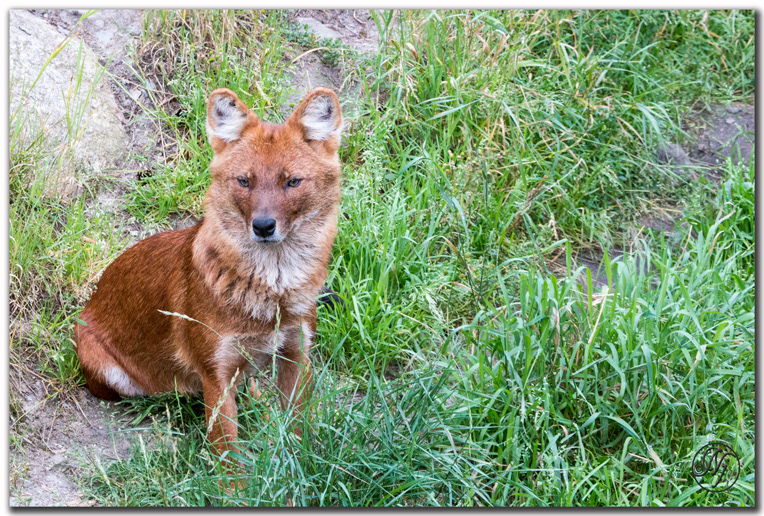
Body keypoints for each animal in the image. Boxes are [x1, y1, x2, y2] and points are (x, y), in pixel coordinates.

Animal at [74, 86, 344, 458]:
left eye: (293, 182)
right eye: (244, 181)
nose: (263, 225)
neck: (273, 290)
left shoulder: (297, 353)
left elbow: (298, 432)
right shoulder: (216, 374)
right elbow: (229, 455)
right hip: (104, 364)